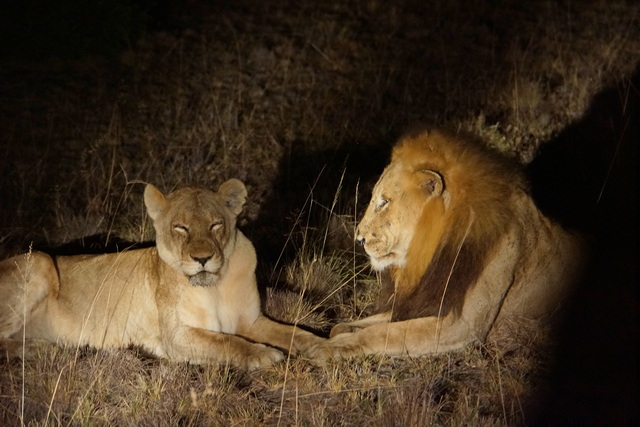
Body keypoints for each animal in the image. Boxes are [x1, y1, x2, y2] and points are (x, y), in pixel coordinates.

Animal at [0, 179, 323, 370]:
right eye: (181, 228)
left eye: (215, 225)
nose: (202, 259)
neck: (215, 286)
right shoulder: (176, 336)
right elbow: (227, 342)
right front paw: (262, 354)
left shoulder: (251, 321)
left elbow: (292, 332)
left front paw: (323, 346)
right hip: (40, 260)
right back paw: (44, 349)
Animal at [307, 129, 584, 362]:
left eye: (384, 202)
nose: (359, 238)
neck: (435, 250)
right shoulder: (424, 300)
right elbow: (359, 324)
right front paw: (340, 330)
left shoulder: (460, 324)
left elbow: (383, 333)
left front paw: (329, 347)